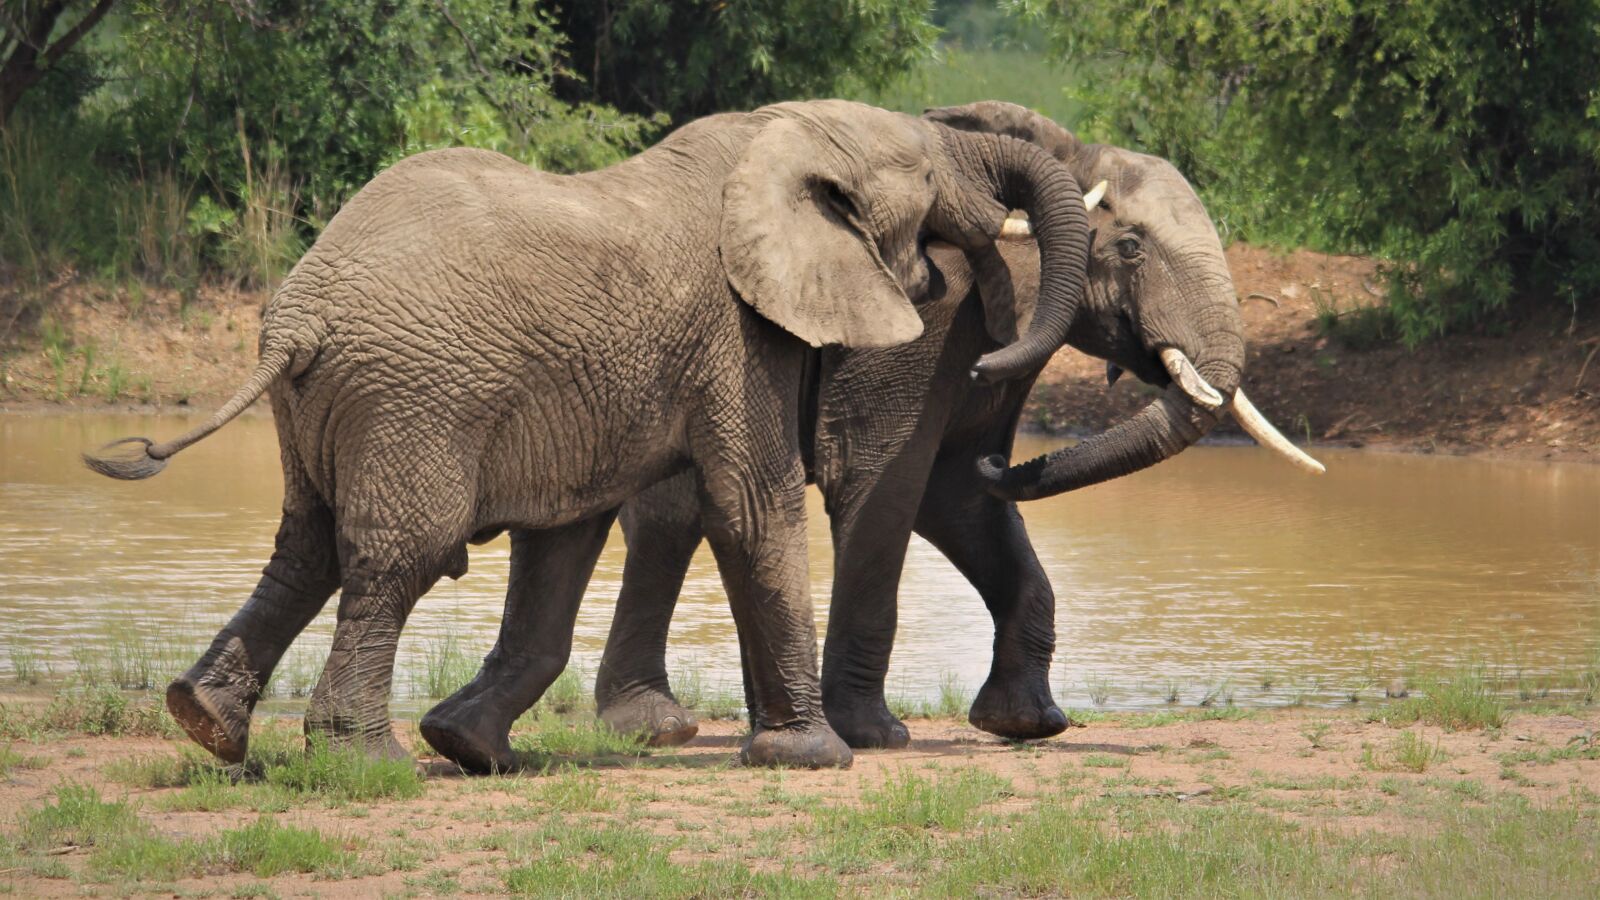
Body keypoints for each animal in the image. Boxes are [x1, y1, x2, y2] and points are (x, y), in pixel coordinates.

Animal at [83, 99, 1105, 770]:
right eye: (930, 169)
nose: (986, 369)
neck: (776, 137)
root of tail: (298, 322)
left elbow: (566, 531)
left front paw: (471, 747)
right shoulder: (734, 331)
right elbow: (752, 501)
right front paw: (815, 758)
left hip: (330, 406)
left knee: (308, 546)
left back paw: (206, 724)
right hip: (411, 396)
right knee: (393, 555)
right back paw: (362, 765)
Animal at [420, 102, 1324, 770]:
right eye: (1131, 248)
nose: (1014, 455)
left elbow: (959, 495)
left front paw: (1027, 725)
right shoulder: (932, 324)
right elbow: (886, 484)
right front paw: (877, 737)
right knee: (674, 516)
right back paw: (662, 730)